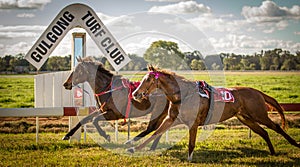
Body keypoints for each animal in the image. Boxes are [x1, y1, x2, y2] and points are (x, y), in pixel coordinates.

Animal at [131, 65, 300, 160]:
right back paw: (272, 152)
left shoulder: (193, 123)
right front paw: (134, 148)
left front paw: (190, 159)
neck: (183, 95)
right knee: (263, 132)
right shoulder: (171, 119)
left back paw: (294, 144)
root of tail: (257, 91)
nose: (135, 94)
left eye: (148, 80)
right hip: (246, 118)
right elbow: (155, 133)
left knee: (276, 127)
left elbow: (191, 144)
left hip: (259, 114)